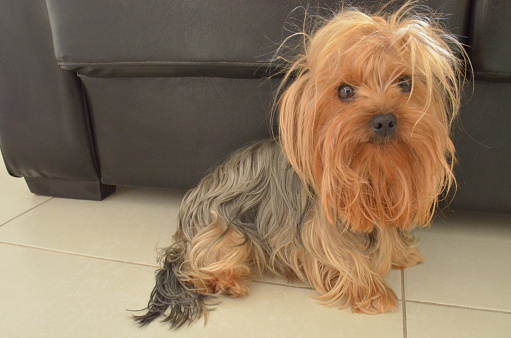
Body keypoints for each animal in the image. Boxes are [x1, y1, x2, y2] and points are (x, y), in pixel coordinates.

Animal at [134, 1, 466, 330]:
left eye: (405, 83)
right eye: (345, 91)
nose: (385, 120)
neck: (371, 169)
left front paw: (401, 254)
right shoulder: (318, 226)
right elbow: (341, 255)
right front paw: (371, 291)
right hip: (223, 225)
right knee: (199, 261)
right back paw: (226, 280)